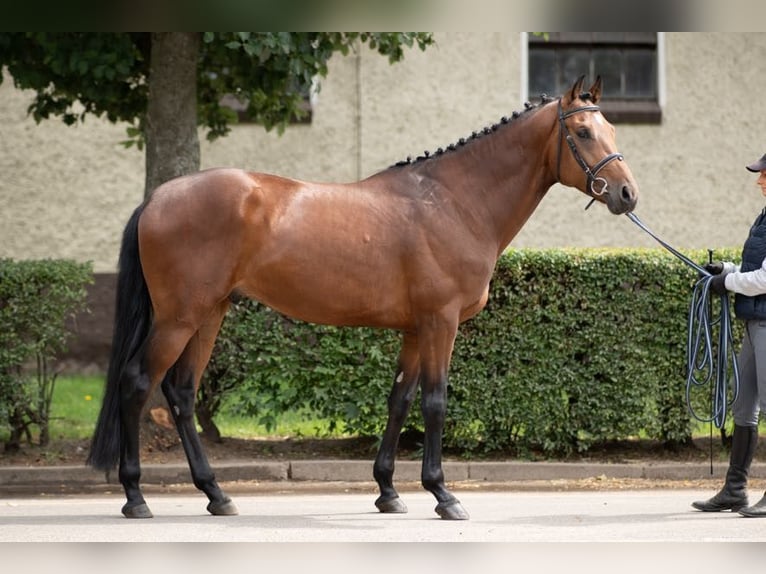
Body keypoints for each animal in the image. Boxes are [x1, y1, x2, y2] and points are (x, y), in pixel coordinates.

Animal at [88, 76, 640, 520]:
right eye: (583, 133)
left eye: (612, 130)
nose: (628, 195)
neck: (454, 202)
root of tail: (157, 198)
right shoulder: (440, 323)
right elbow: (435, 402)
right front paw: (443, 495)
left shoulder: (415, 330)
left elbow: (399, 401)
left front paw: (388, 491)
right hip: (179, 317)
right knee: (138, 384)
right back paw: (135, 497)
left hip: (209, 314)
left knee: (181, 393)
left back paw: (216, 495)